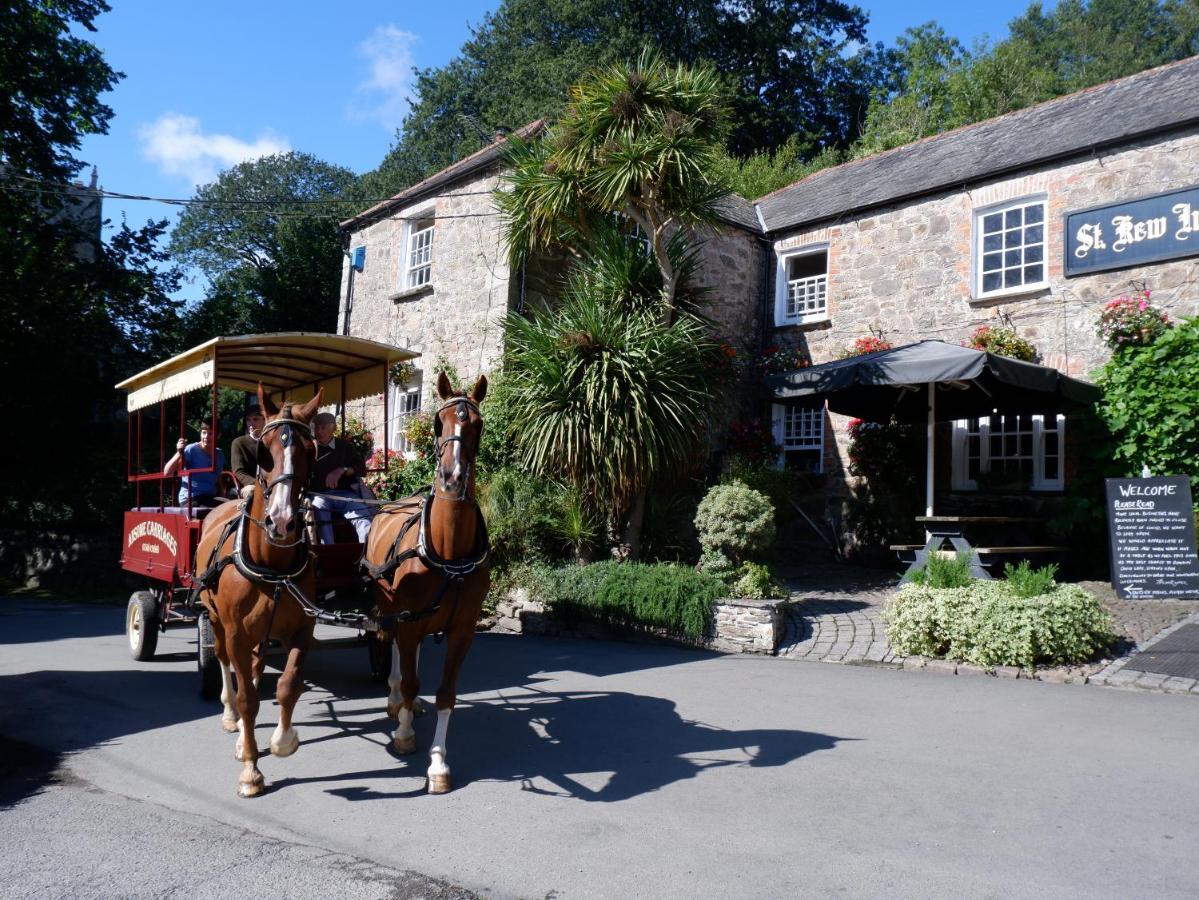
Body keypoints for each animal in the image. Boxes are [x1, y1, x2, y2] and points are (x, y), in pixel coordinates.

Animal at [189, 383, 318, 800]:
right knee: (226, 663)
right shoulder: (236, 633)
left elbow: (288, 685)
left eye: (310, 451)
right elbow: (247, 698)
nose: (282, 521)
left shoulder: (302, 630)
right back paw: (231, 720)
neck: (272, 566)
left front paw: (282, 740)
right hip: (216, 620)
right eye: (265, 451)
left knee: (259, 669)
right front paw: (250, 770)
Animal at [366, 373, 493, 795]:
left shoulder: (462, 631)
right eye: (439, 423)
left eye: (478, 425)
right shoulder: (408, 619)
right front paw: (405, 734)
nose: (452, 479)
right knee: (394, 648)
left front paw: (438, 763)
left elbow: (446, 695)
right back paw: (395, 703)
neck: (449, 553)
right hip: (392, 607)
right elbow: (409, 680)